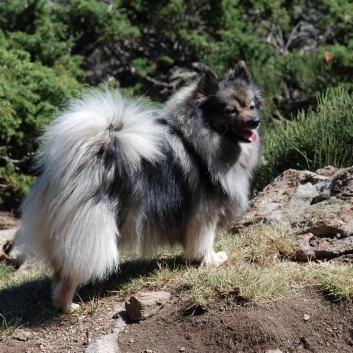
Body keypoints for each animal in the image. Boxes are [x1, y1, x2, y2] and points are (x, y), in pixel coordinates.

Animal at [13, 60, 262, 310]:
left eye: (251, 106)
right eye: (231, 110)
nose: (255, 121)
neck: (202, 138)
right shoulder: (205, 213)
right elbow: (206, 240)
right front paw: (212, 260)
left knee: (59, 269)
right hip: (93, 231)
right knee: (71, 273)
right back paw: (68, 307)